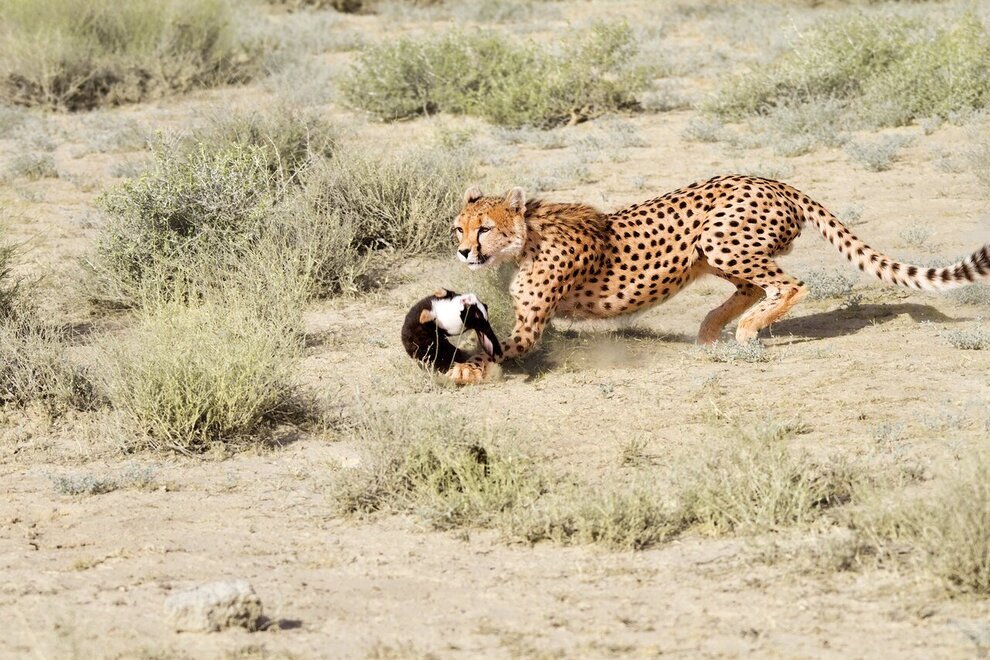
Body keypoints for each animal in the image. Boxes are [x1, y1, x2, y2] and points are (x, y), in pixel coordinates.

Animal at [448, 175, 990, 384]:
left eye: (485, 229)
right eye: (459, 227)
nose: (462, 250)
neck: (526, 238)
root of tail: (774, 180)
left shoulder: (530, 324)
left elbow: (498, 348)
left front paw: (461, 369)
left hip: (720, 238)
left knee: (790, 284)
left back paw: (746, 332)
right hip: (715, 252)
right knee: (752, 287)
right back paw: (712, 331)